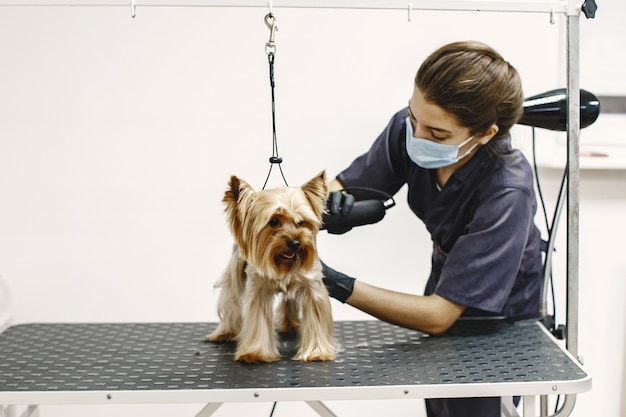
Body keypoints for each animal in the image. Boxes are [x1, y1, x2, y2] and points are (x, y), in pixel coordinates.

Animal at [206, 171, 338, 362]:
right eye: (274, 221)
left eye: (301, 222)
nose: (295, 243)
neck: (283, 262)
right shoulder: (258, 289)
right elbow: (257, 319)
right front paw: (254, 353)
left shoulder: (312, 287)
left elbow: (315, 317)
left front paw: (317, 352)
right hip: (236, 268)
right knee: (231, 298)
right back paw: (226, 332)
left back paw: (290, 324)